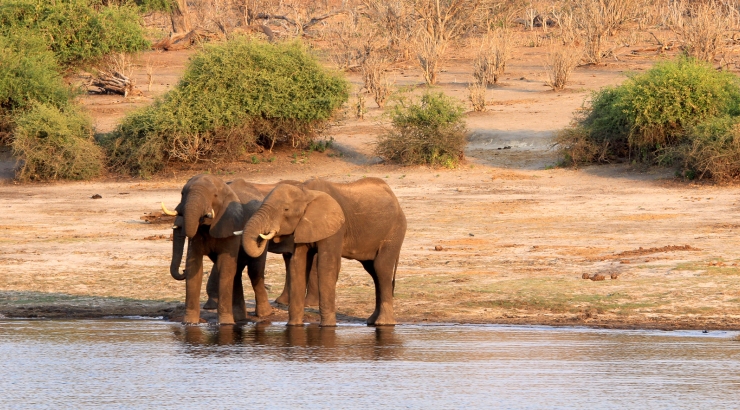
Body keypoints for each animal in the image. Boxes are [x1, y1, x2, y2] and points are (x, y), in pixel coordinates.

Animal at [241, 176, 404, 326]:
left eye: (286, 209)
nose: (263, 237)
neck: (306, 192)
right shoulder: (303, 226)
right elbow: (298, 264)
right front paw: (293, 326)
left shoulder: (335, 226)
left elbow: (327, 265)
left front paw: (327, 327)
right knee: (373, 271)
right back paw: (371, 321)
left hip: (394, 232)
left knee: (381, 268)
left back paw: (383, 323)